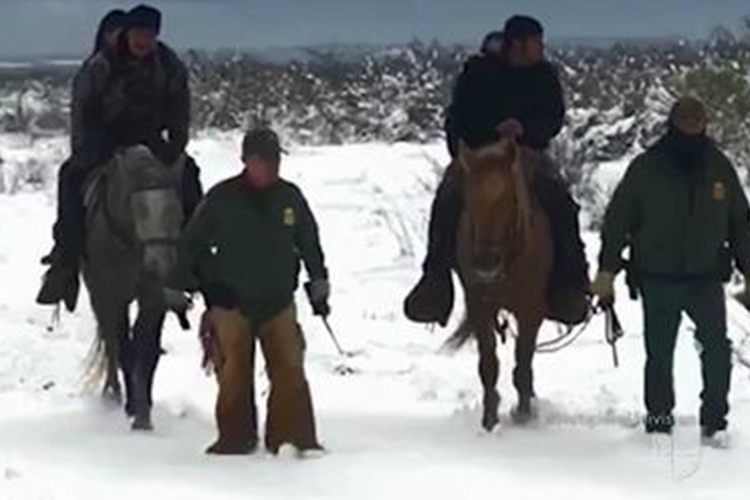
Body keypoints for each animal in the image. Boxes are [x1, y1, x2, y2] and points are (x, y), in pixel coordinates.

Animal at [83, 146, 185, 432]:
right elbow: (121, 346)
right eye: (138, 209)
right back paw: (114, 395)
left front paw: (142, 413)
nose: (159, 265)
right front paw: (122, 401)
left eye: (175, 210)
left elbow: (145, 348)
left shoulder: (152, 298)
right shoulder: (109, 297)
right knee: (112, 342)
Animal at [446, 136, 560, 430]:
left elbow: (524, 359)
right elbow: (488, 363)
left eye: (509, 198)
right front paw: (489, 420)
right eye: (469, 199)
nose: (486, 263)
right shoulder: (479, 305)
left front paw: (523, 414)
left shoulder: (531, 310)